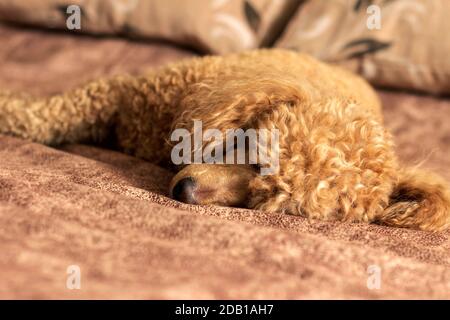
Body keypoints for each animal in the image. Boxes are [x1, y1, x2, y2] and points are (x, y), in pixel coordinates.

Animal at [0, 49, 448, 230]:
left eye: (260, 204)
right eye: (253, 151)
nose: (184, 191)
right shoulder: (124, 94)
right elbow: (54, 114)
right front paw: (11, 110)